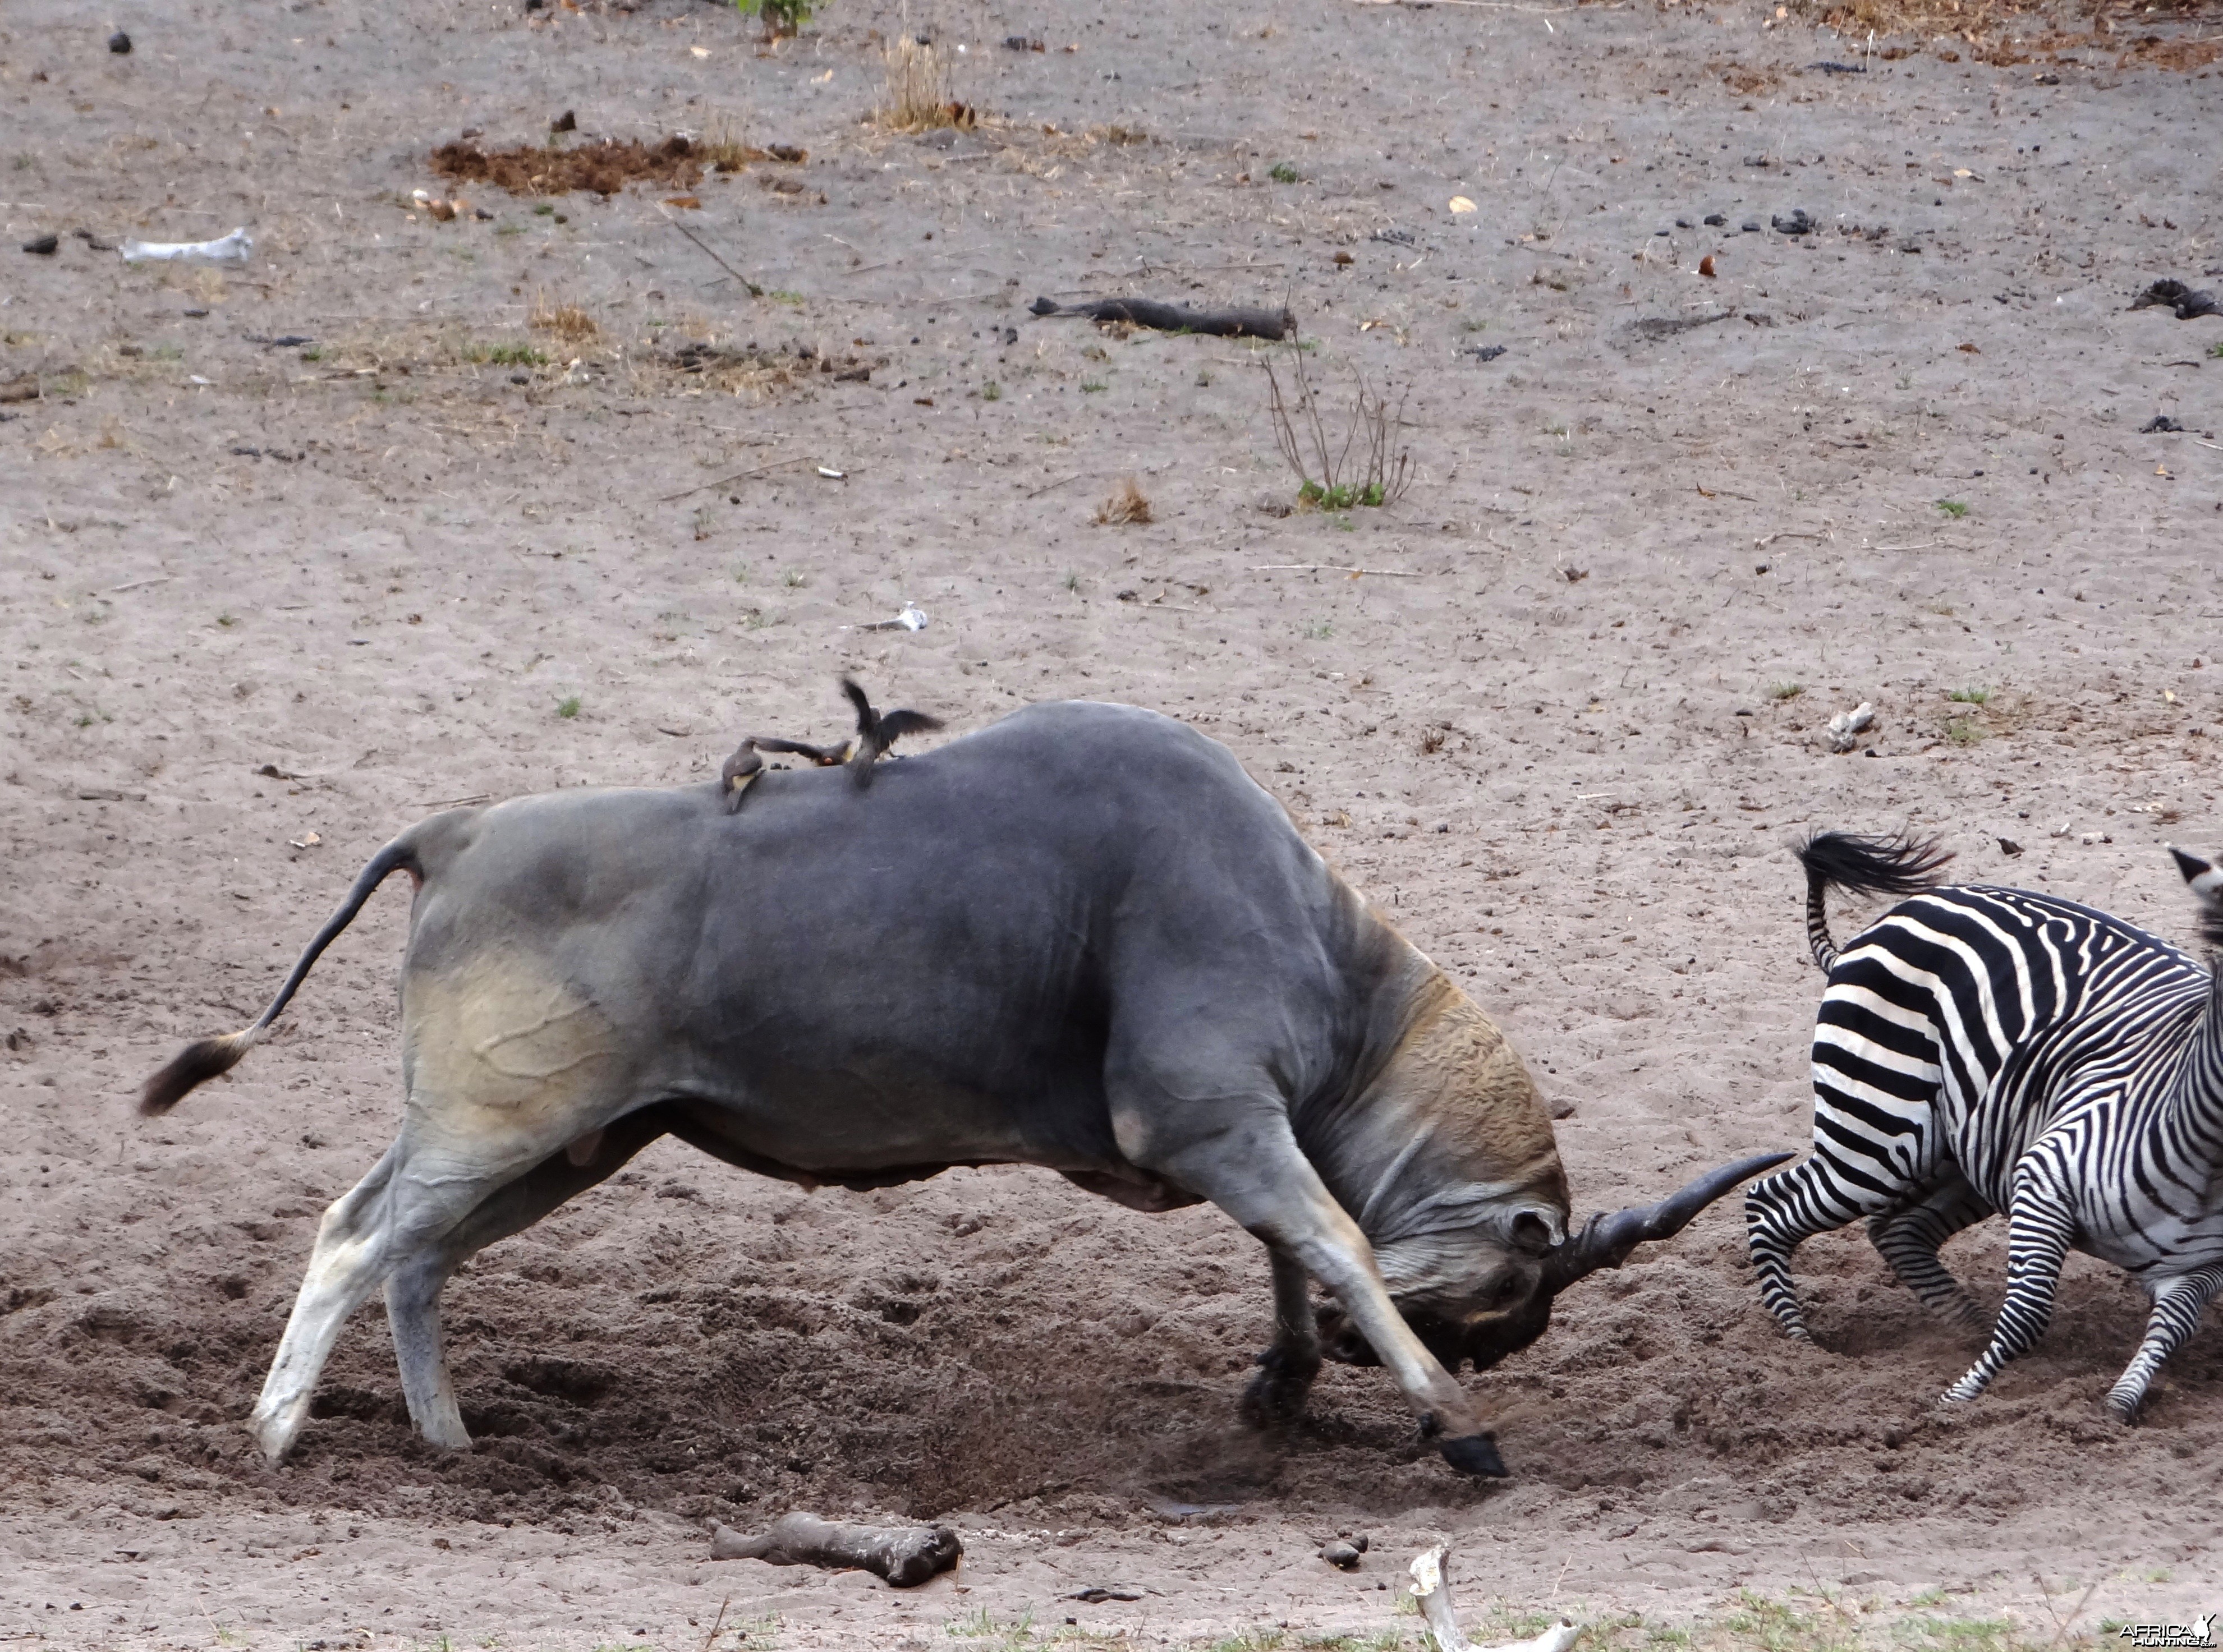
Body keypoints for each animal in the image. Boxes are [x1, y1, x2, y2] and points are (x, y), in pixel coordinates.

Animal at [143, 693, 1787, 1476]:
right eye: (1512, 1296)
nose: (1484, 1356)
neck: (1339, 963)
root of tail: (456, 830)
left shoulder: (1231, 1130)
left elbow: (1288, 1242)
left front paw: (1284, 1384)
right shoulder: (1214, 1118)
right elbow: (1322, 1233)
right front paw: (1450, 1421)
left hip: (569, 1147)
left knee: (412, 1255)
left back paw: (445, 1444)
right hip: (509, 1131)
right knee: (357, 1236)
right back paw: (280, 1441)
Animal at [1743, 827, 2214, 1423]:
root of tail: (1889, 919)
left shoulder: (2199, 1266)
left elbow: (2174, 1325)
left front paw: (2118, 1405)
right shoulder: (2044, 1179)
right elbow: (2027, 1317)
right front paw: (1952, 1405)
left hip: (1963, 1145)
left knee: (1897, 1228)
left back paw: (1965, 1325)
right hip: (1876, 1137)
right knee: (1768, 1203)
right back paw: (1799, 1345)